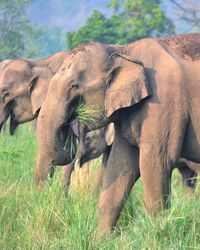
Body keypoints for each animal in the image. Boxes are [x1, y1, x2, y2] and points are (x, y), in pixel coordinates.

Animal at [36, 31, 200, 232]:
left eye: (74, 86)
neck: (124, 50)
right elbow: (120, 165)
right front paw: (100, 237)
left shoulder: (164, 104)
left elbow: (157, 163)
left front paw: (159, 231)